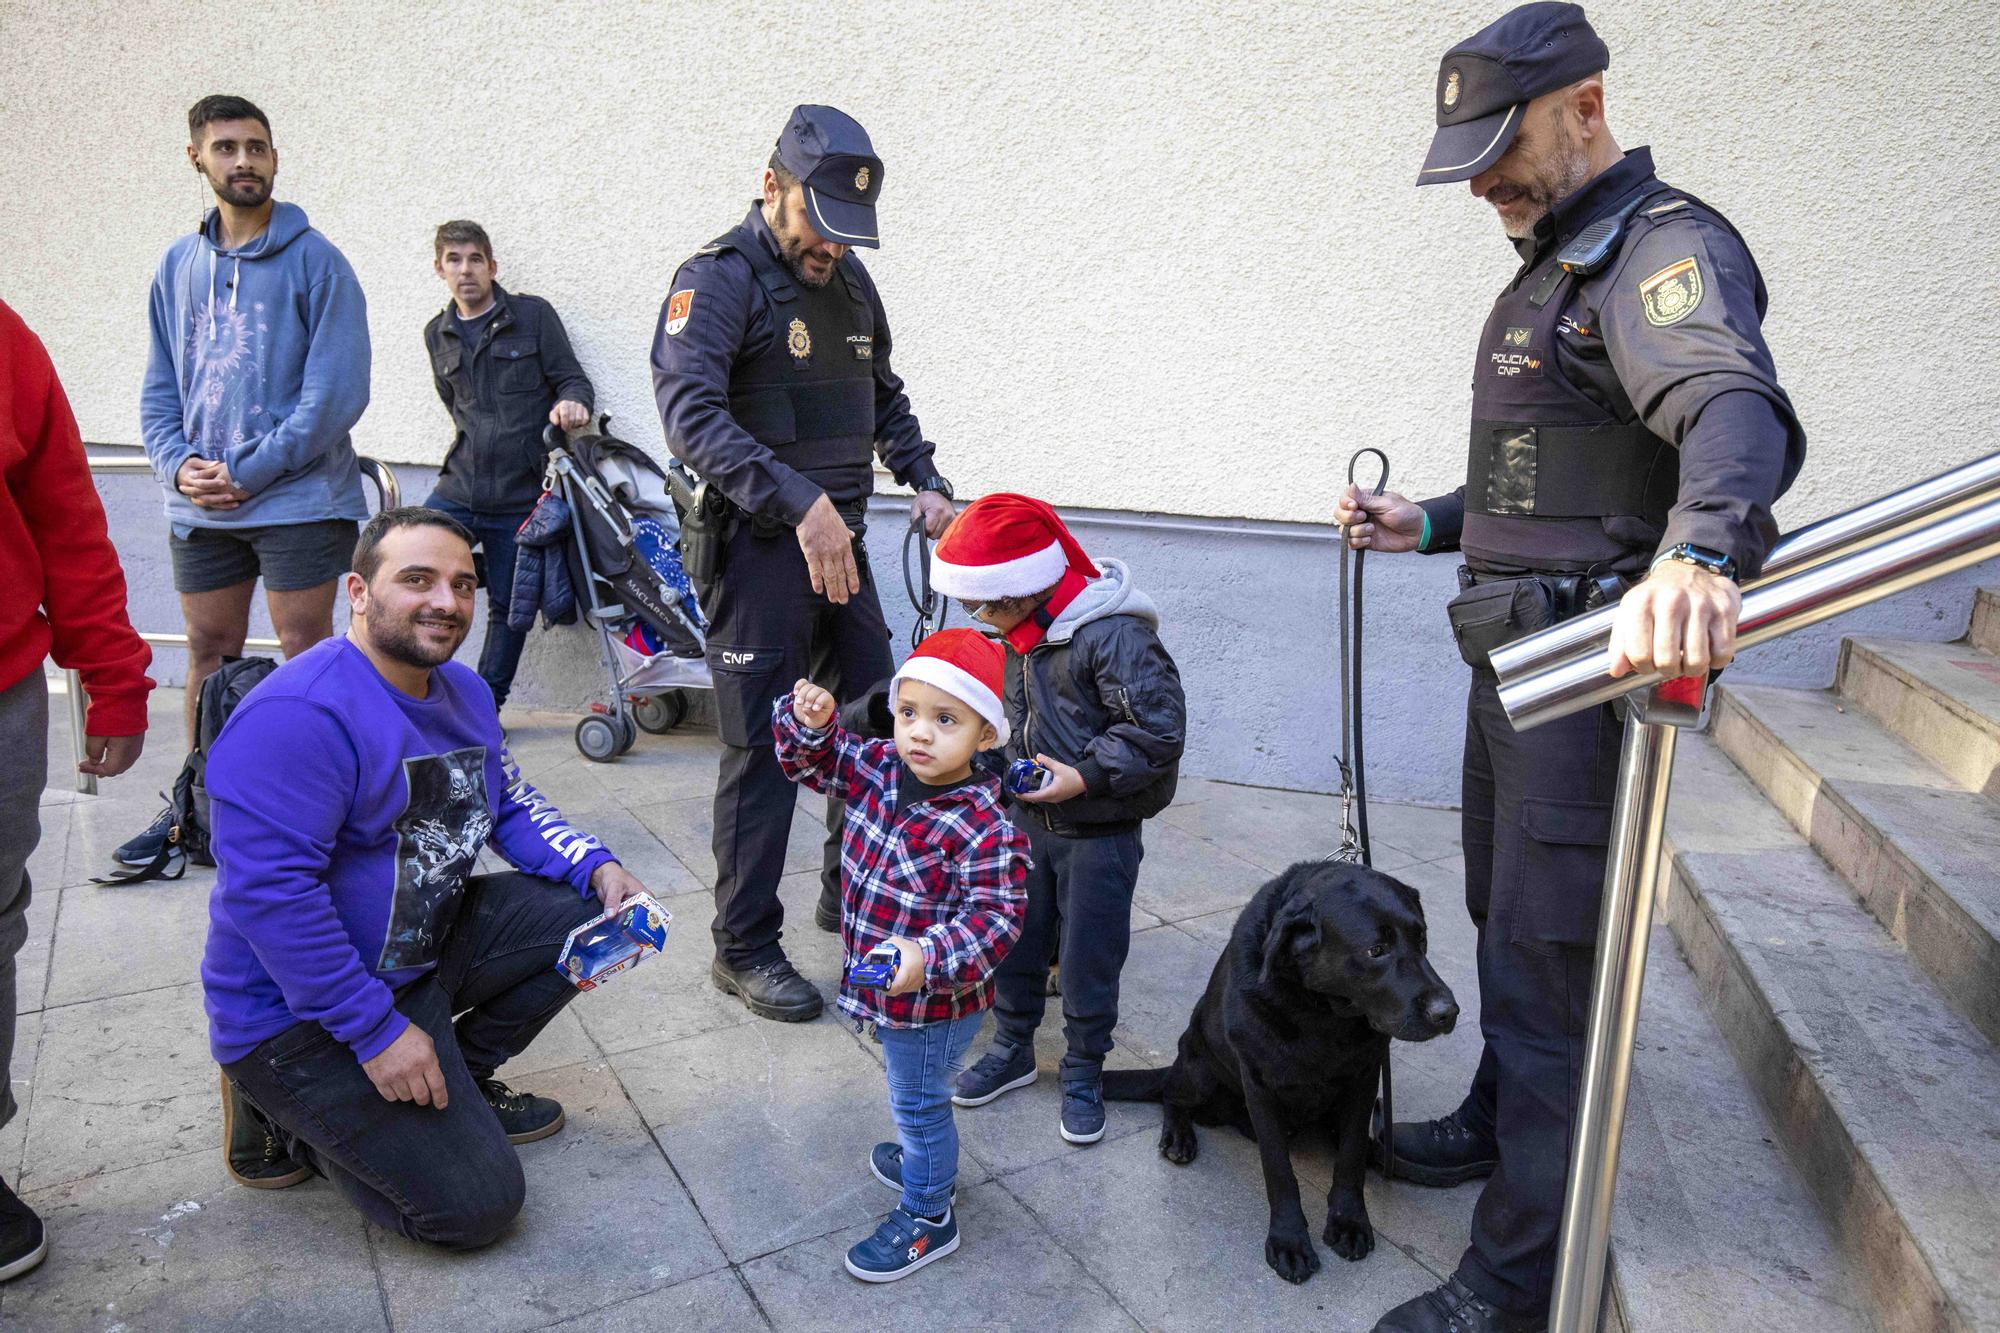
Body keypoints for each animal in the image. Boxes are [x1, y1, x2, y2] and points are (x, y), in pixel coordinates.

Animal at [1104, 856, 1464, 1280]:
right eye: (1377, 950)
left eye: (1422, 940)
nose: (1448, 1013)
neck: (1323, 1012)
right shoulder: (1260, 1084)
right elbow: (1279, 1171)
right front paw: (1289, 1239)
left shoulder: (1364, 1079)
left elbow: (1351, 1156)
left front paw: (1348, 1219)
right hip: (1200, 1067)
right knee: (1171, 1093)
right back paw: (1179, 1135)